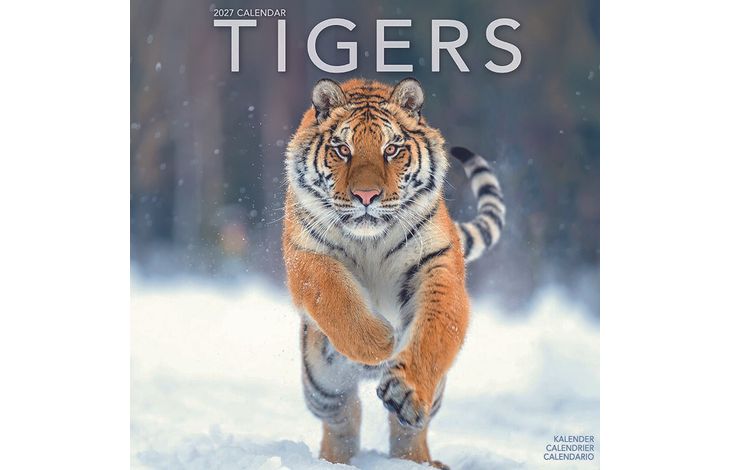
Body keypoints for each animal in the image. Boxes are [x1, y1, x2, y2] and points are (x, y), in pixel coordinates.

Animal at [282, 77, 505, 469]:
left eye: (391, 149)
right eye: (342, 149)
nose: (366, 196)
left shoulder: (437, 264)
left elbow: (435, 331)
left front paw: (406, 389)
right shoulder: (306, 255)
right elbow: (334, 296)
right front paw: (380, 341)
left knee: (408, 429)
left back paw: (418, 460)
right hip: (322, 384)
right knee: (343, 417)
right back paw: (334, 460)